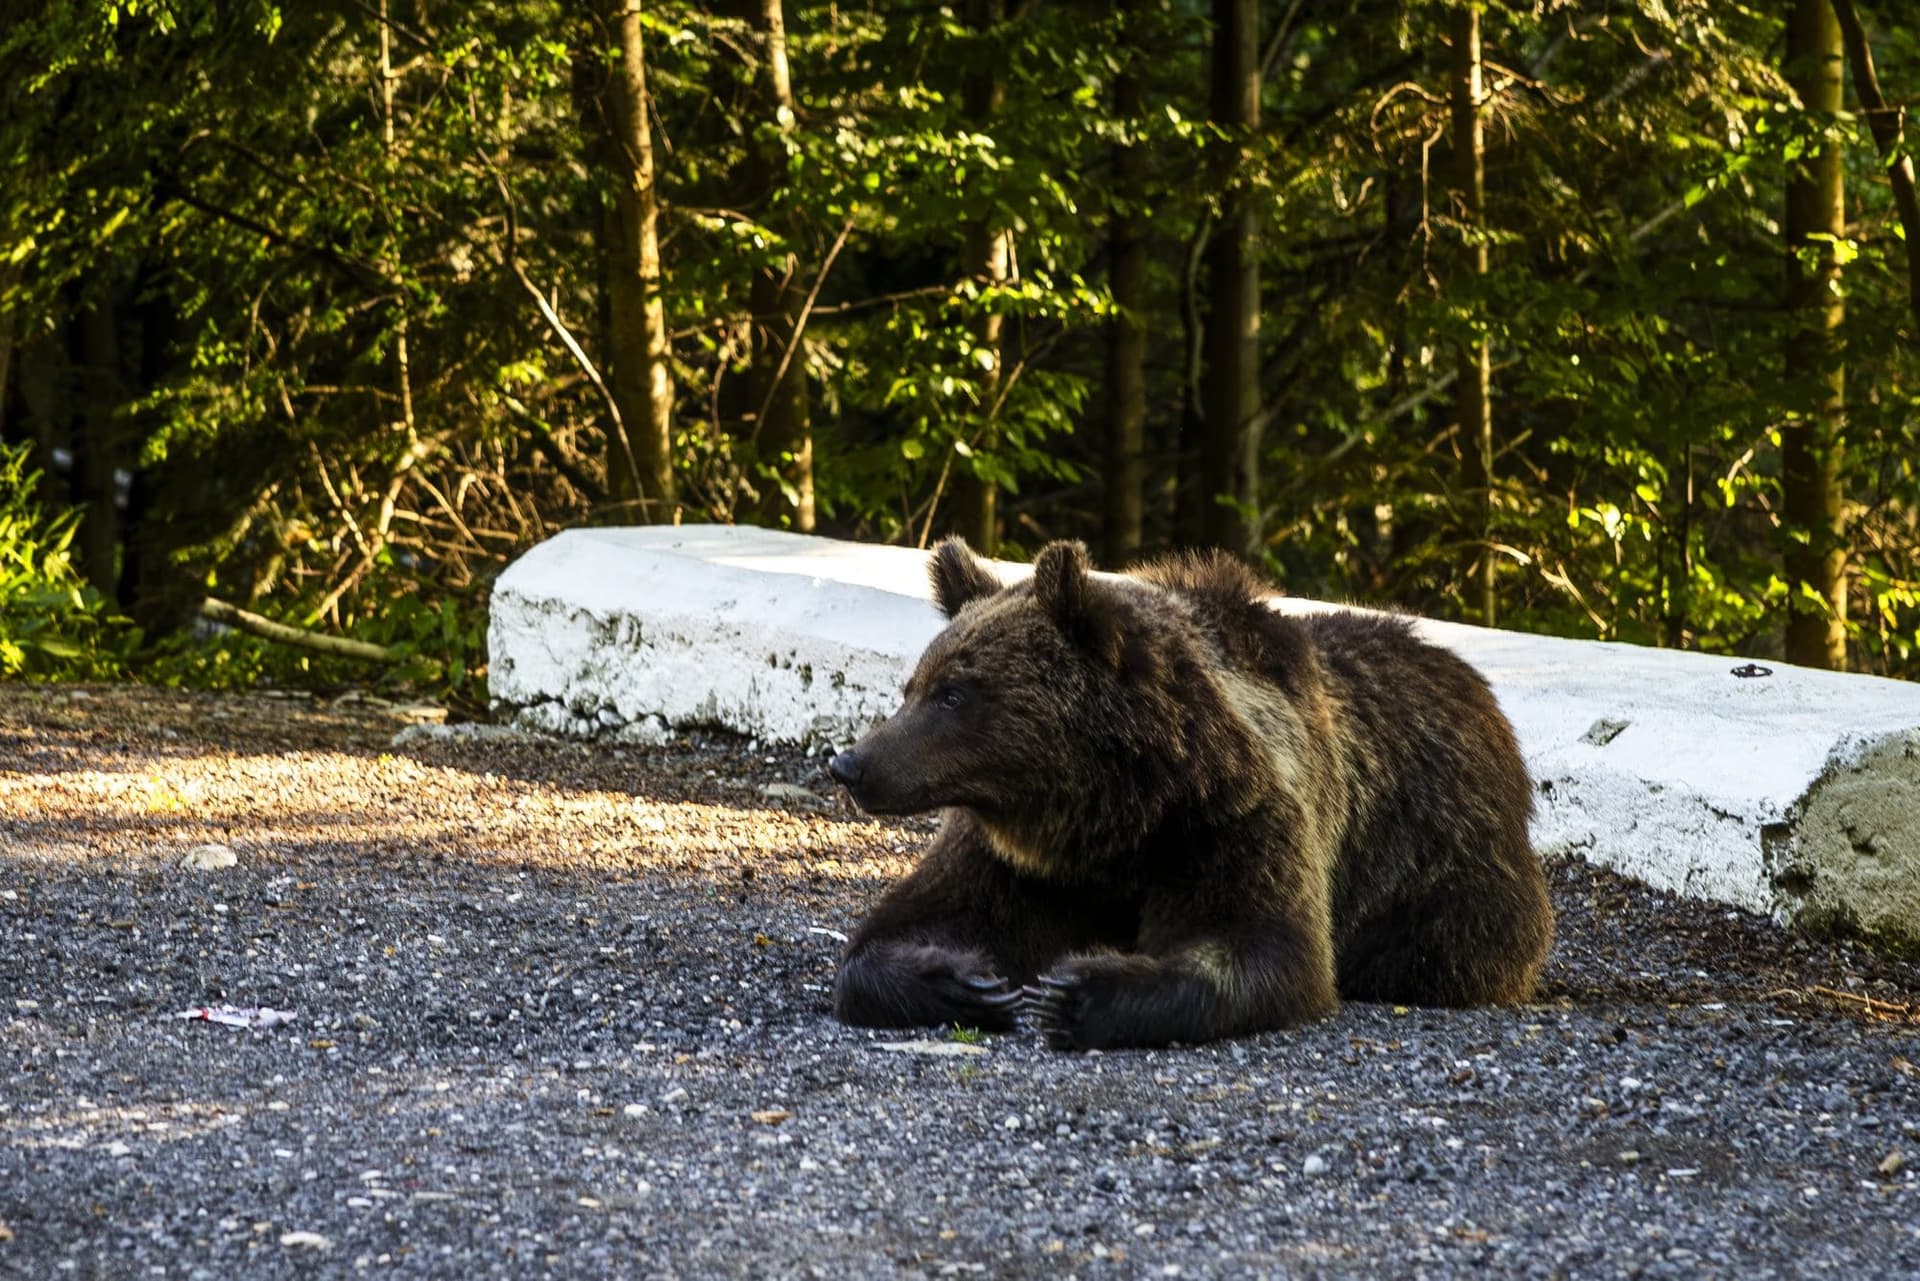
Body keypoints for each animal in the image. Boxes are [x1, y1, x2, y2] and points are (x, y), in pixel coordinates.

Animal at [825, 537, 1553, 1051]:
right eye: (914, 685)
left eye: (954, 693)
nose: (850, 764)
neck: (1117, 813)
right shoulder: (1020, 858)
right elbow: (902, 930)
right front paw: (968, 978)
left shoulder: (1230, 820)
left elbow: (1263, 945)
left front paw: (1077, 990)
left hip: (1445, 861)